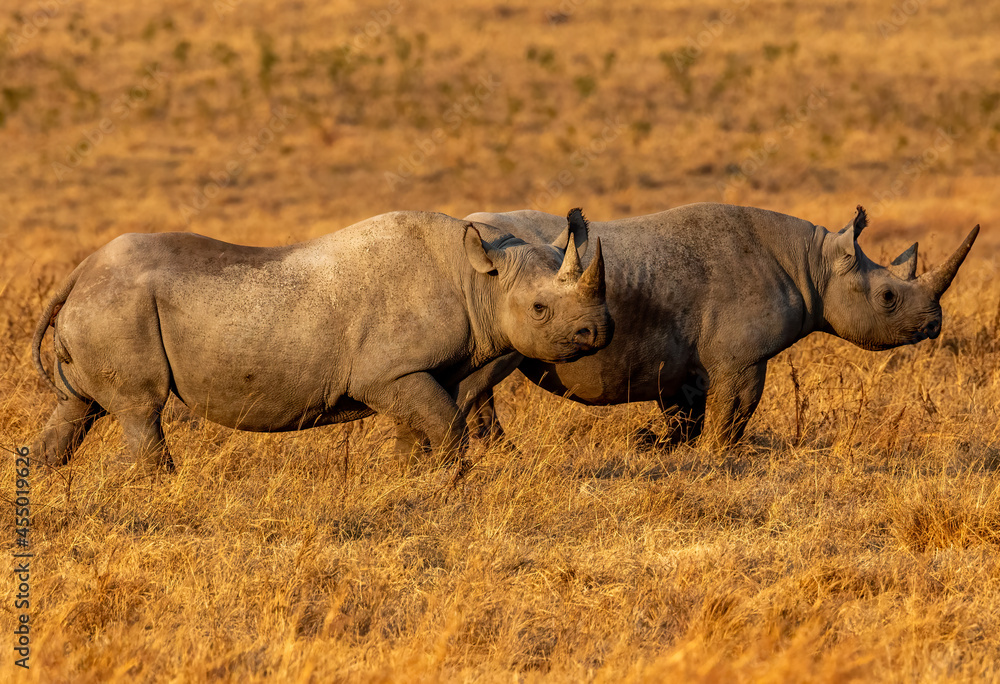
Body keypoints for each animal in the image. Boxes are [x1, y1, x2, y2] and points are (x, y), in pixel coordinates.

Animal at [31, 209, 612, 472]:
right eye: (539, 310)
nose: (599, 332)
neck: (481, 281)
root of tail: (80, 272)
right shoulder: (388, 372)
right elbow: (446, 426)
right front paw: (453, 485)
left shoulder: (417, 371)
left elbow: (419, 429)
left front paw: (405, 479)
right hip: (119, 307)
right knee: (140, 410)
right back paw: (163, 487)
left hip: (103, 305)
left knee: (76, 408)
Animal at [458, 203, 979, 448]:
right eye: (889, 298)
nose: (933, 326)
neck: (815, 262)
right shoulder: (740, 358)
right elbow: (737, 408)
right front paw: (717, 454)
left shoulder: (676, 361)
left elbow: (685, 414)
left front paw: (662, 447)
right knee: (483, 378)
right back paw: (502, 454)